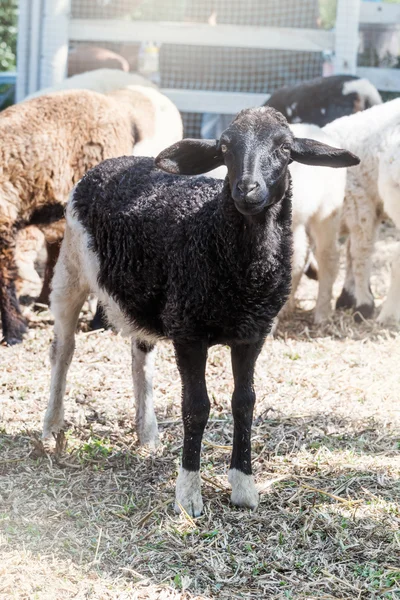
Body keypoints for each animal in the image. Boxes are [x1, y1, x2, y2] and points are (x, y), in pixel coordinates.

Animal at [43, 108, 360, 516]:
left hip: (145, 295)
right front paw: (189, 494)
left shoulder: (252, 335)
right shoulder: (189, 333)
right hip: (70, 270)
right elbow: (196, 406)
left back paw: (147, 435)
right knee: (63, 349)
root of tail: (117, 161)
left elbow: (244, 403)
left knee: (140, 358)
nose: (247, 188)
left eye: (285, 148)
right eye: (224, 148)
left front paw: (244, 487)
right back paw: (52, 428)